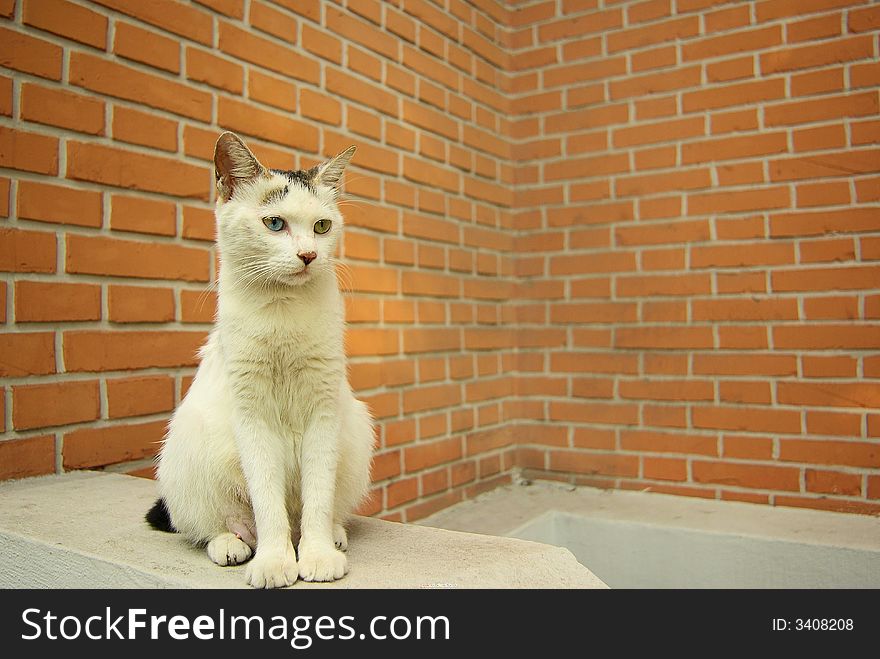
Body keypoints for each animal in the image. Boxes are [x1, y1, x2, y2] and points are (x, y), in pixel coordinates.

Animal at [146, 131, 372, 592]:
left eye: (322, 226)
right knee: (208, 525)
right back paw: (230, 544)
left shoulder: (324, 411)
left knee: (319, 512)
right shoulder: (251, 414)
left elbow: (318, 496)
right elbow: (267, 500)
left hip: (357, 432)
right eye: (274, 224)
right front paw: (273, 562)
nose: (308, 255)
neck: (282, 311)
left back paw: (332, 535)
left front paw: (318, 555)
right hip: (187, 446)